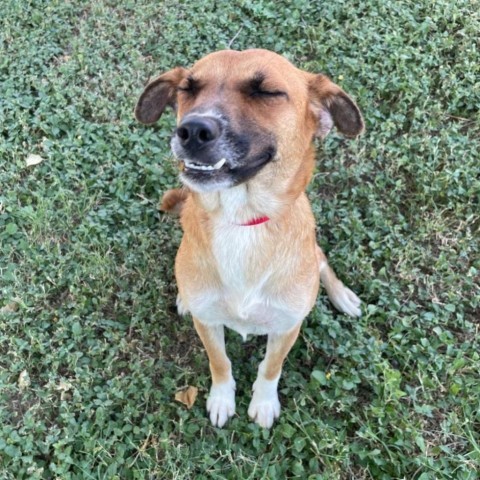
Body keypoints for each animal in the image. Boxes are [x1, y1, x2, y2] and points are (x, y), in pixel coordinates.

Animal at [135, 50, 364, 430]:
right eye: (188, 88)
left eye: (267, 92)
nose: (192, 130)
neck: (242, 221)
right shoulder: (208, 324)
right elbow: (220, 362)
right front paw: (221, 399)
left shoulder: (287, 328)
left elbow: (271, 367)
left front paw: (264, 403)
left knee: (320, 259)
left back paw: (342, 295)